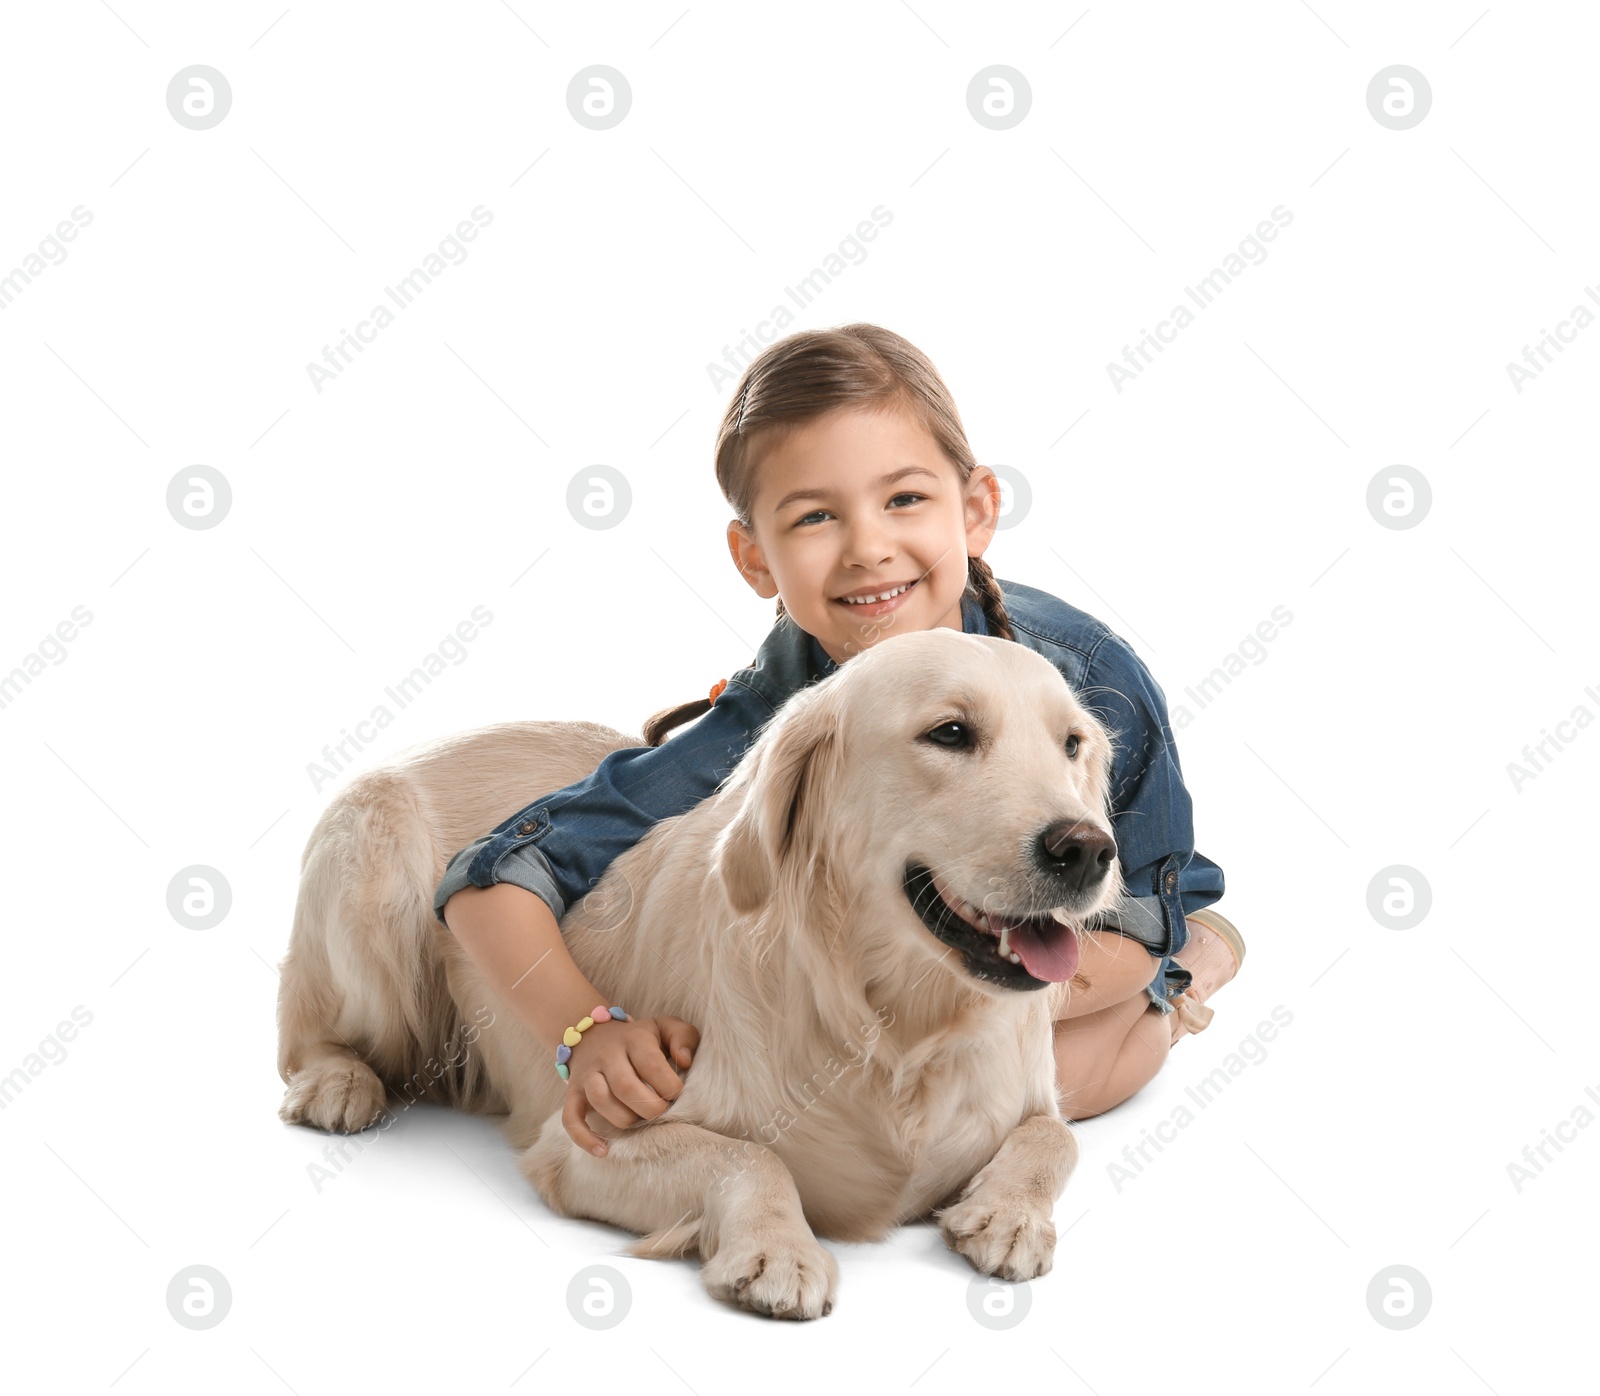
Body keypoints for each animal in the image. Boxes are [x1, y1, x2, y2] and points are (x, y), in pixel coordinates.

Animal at [275, 627, 1126, 1312]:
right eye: (950, 732)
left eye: (1072, 745)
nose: (1088, 849)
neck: (896, 1028)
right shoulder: (582, 1140)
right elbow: (748, 1154)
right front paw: (778, 1251)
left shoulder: (1026, 1094)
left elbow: (1056, 1137)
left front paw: (1010, 1214)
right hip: (373, 859)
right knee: (304, 1033)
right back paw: (338, 1082)